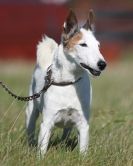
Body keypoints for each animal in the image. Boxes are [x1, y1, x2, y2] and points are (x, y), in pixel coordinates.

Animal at [25, 9, 106, 156]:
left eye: (98, 46)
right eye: (83, 44)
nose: (103, 64)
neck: (69, 82)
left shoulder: (83, 123)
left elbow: (83, 148)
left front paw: (82, 158)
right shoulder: (46, 123)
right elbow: (42, 148)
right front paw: (40, 158)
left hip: (69, 124)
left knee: (66, 132)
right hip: (31, 111)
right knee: (30, 129)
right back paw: (30, 145)